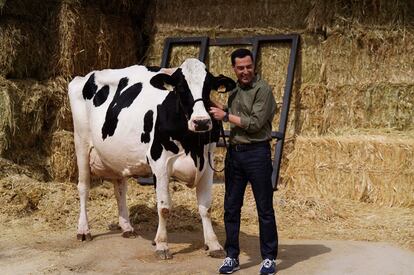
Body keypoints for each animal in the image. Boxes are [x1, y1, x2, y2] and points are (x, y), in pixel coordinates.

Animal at [69, 58, 234, 258]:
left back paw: (127, 227)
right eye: (181, 87)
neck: (191, 144)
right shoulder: (160, 163)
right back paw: (83, 230)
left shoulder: (207, 164)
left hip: (116, 156)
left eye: (208, 86)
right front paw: (162, 244)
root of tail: (85, 76)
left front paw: (213, 244)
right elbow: (163, 207)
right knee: (83, 187)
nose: (201, 122)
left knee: (120, 190)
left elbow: (206, 207)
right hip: (81, 144)